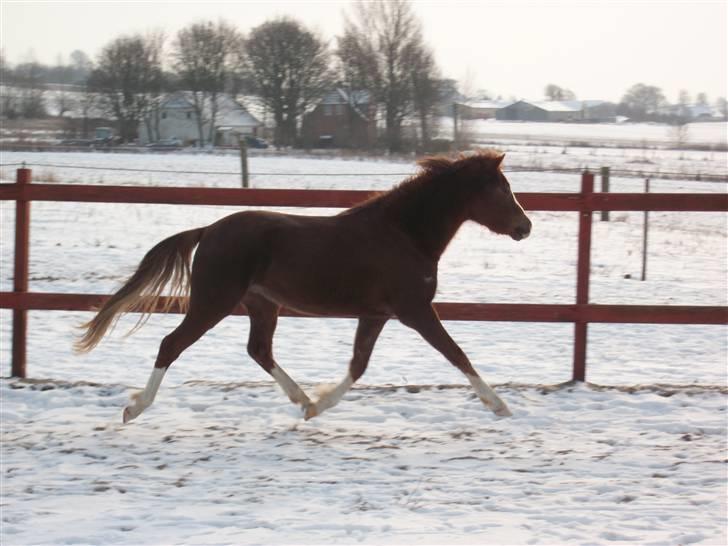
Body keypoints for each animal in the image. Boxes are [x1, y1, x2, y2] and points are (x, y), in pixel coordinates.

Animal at [75, 150, 532, 423]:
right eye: (502, 190)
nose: (525, 227)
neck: (404, 234)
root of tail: (209, 231)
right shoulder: (415, 310)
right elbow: (456, 353)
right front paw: (500, 405)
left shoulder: (376, 314)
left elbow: (358, 365)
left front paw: (318, 406)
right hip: (214, 301)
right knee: (172, 344)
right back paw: (135, 408)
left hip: (261, 305)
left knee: (259, 350)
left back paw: (302, 400)